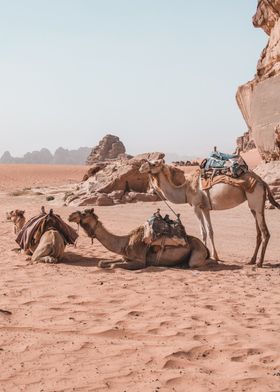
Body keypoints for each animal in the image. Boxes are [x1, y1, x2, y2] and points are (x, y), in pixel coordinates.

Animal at [68, 208, 210, 270]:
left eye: (84, 213)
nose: (70, 216)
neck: (125, 242)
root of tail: (205, 247)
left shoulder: (141, 261)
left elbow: (113, 265)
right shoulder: (125, 257)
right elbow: (101, 262)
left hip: (197, 253)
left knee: (196, 263)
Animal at [138, 159, 280, 266]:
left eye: (155, 163)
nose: (141, 167)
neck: (185, 190)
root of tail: (263, 182)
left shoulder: (196, 206)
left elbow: (203, 232)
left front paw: (206, 255)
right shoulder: (205, 208)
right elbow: (210, 231)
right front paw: (215, 256)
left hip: (256, 198)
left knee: (265, 232)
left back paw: (259, 263)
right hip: (254, 206)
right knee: (258, 232)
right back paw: (251, 260)